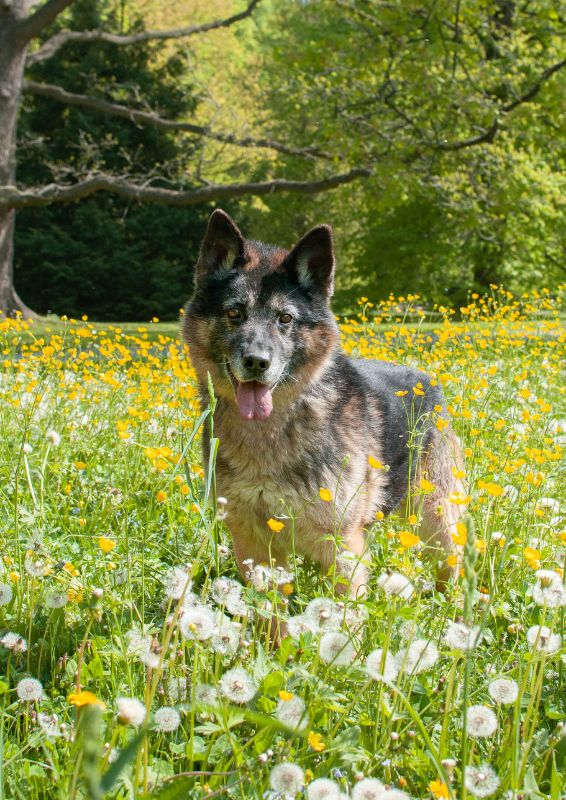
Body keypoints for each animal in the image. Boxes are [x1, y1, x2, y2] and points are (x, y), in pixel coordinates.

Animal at [184, 209, 468, 596]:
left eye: (285, 318)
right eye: (234, 313)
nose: (257, 362)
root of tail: (429, 381)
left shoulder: (342, 545)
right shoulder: (254, 545)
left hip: (437, 519)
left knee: (450, 568)